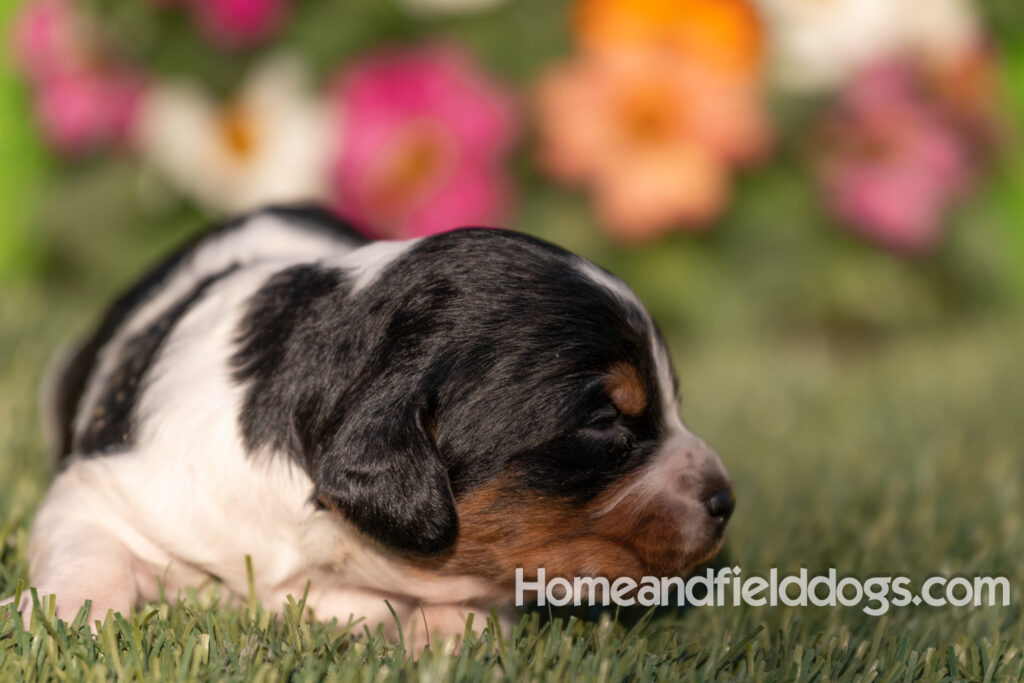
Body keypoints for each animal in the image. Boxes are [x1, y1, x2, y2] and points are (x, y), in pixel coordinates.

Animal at [2, 204, 737, 647]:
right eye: (606, 421)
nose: (726, 500)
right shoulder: (104, 490)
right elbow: (88, 555)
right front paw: (64, 624)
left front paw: (448, 641)